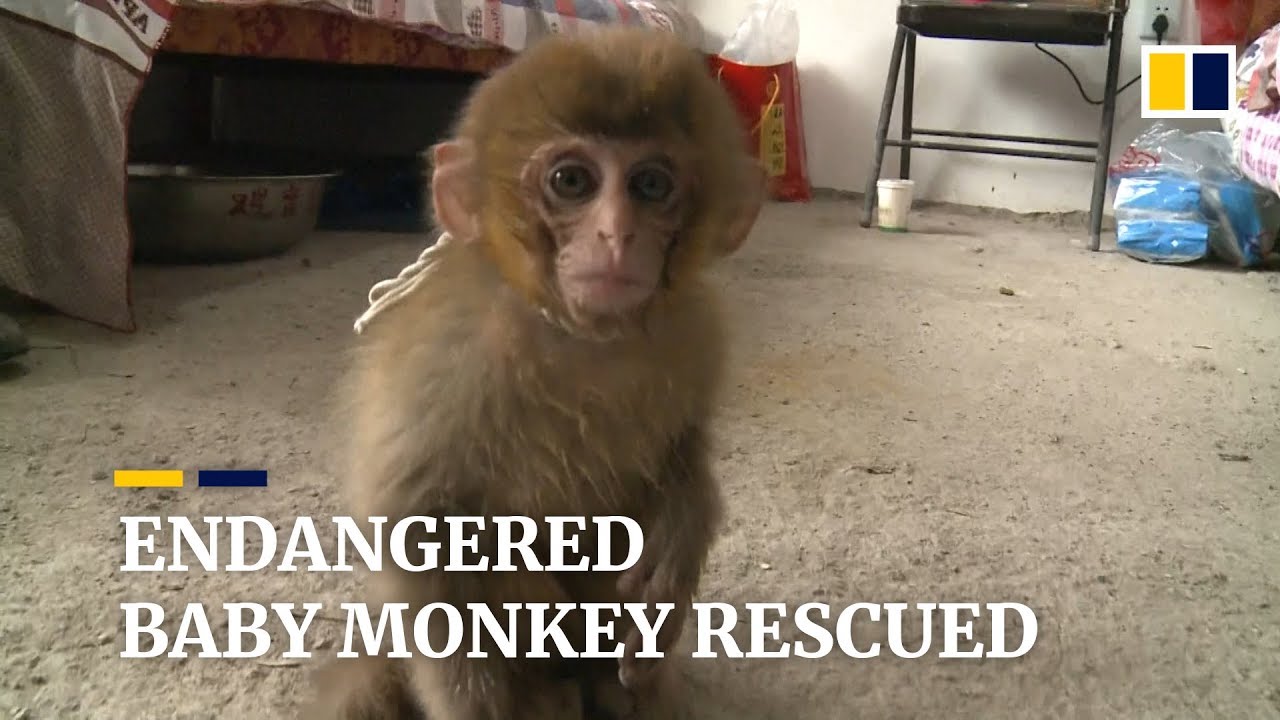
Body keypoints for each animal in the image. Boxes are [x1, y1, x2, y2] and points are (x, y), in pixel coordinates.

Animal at [307, 23, 765, 720]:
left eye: (650, 186)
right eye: (572, 181)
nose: (616, 235)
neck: (579, 336)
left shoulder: (697, 332)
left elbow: (682, 451)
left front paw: (682, 532)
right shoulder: (449, 353)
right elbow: (416, 521)